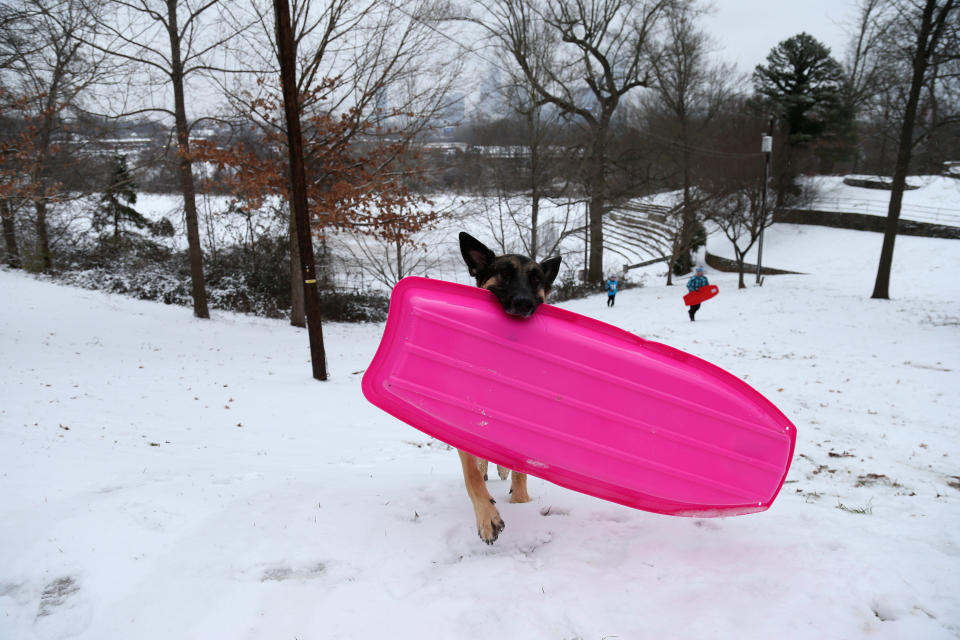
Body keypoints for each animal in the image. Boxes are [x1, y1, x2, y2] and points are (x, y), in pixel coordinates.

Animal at [458, 232, 564, 544]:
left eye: (537, 280)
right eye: (503, 274)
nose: (524, 303)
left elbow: (519, 466)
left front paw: (520, 499)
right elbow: (471, 473)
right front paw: (487, 517)